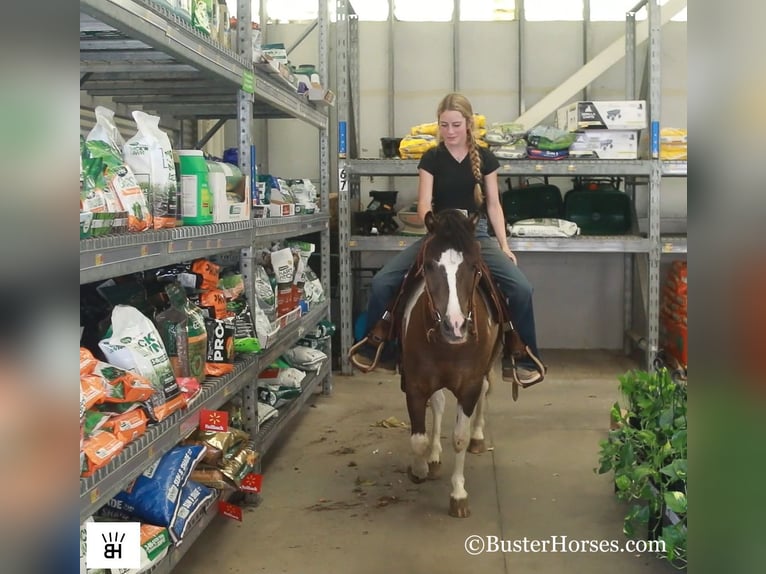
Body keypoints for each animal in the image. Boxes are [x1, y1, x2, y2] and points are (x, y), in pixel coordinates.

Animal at [400, 209, 508, 520]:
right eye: (428, 265)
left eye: (473, 266)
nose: (455, 327)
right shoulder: (415, 384)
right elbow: (419, 439)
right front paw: (421, 467)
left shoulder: (469, 385)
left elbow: (459, 437)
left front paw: (458, 495)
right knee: (438, 405)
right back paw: (435, 457)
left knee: (485, 391)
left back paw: (478, 437)